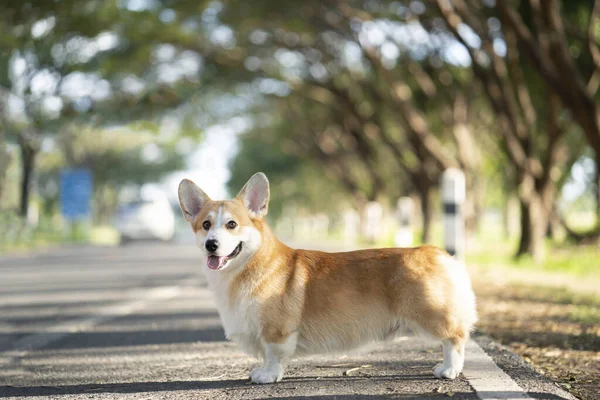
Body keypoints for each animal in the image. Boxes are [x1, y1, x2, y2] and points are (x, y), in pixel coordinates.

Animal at [178, 173, 478, 384]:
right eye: (206, 225)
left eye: (232, 225)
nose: (212, 245)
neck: (247, 265)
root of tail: (438, 253)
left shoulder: (276, 331)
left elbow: (274, 355)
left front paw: (268, 376)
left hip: (430, 314)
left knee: (455, 337)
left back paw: (448, 370)